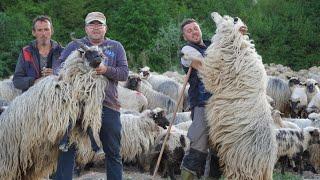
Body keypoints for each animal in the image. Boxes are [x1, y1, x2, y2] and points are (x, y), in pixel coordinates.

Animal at [0, 49, 107, 180]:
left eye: (99, 52)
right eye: (87, 53)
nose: (99, 57)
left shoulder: (84, 112)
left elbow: (89, 128)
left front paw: (97, 148)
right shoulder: (61, 111)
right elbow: (68, 124)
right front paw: (63, 143)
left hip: (25, 164)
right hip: (9, 160)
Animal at [202, 11, 278, 179]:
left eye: (228, 18)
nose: (213, 13)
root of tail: (267, 165)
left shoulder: (217, 72)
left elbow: (205, 70)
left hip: (242, 166)